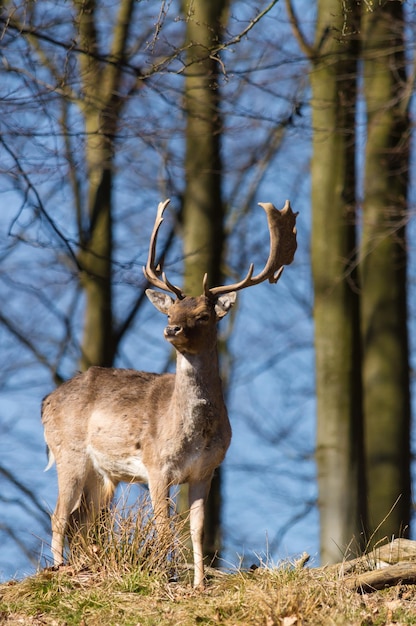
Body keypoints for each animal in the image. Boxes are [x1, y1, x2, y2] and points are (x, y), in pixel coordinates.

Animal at [41, 197, 296, 588]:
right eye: (171, 310)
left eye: (204, 314)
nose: (171, 328)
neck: (192, 434)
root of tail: (46, 401)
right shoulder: (156, 466)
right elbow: (163, 527)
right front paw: (167, 577)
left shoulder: (206, 471)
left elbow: (197, 530)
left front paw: (199, 583)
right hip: (68, 451)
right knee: (59, 515)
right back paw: (59, 570)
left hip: (102, 473)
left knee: (83, 519)